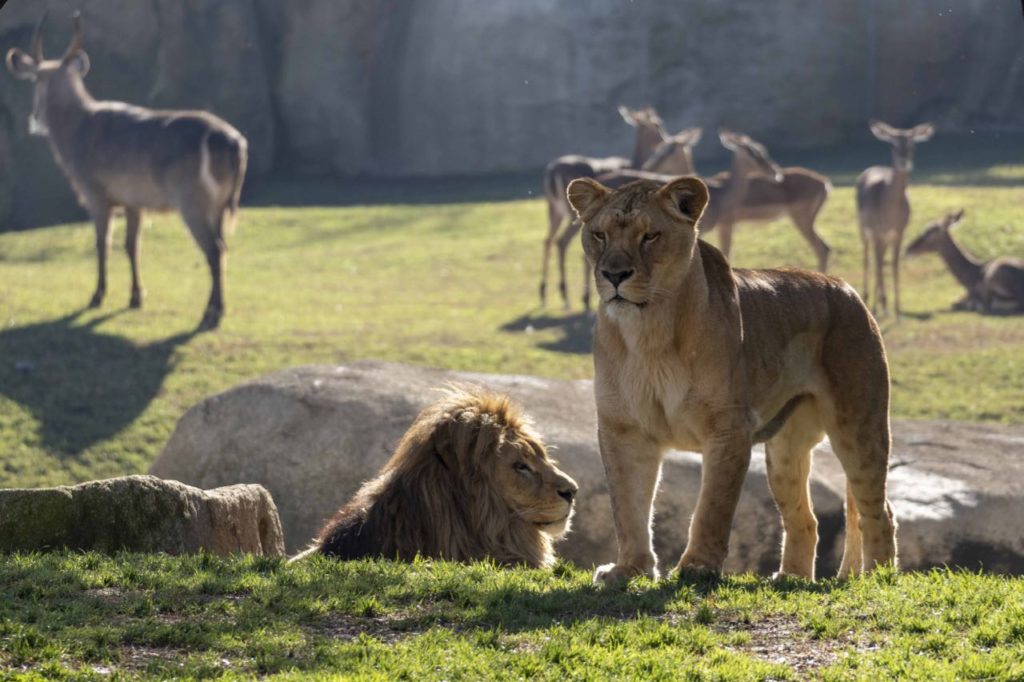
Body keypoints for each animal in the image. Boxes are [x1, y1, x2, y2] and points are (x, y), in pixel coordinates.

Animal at [6, 11, 247, 327]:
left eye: (36, 79)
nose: (34, 119)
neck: (79, 125)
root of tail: (233, 141)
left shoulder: (97, 196)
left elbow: (102, 244)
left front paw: (96, 297)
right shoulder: (134, 202)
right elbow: (132, 246)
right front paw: (135, 298)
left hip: (193, 203)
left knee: (215, 250)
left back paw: (213, 313)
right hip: (217, 207)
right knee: (222, 248)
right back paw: (213, 308)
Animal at [569, 173, 897, 581]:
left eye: (650, 236)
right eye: (599, 235)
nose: (614, 275)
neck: (648, 331)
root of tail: (847, 289)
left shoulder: (728, 427)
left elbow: (712, 507)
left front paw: (697, 566)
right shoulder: (623, 429)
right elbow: (628, 507)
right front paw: (629, 569)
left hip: (859, 428)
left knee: (877, 511)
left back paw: (878, 576)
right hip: (784, 450)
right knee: (806, 520)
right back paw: (790, 579)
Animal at [856, 118, 937, 315]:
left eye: (913, 144)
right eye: (892, 144)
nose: (903, 162)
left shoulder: (900, 230)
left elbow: (894, 264)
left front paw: (897, 310)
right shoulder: (876, 230)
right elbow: (878, 263)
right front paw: (883, 306)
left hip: (884, 236)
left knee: (880, 258)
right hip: (863, 228)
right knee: (868, 257)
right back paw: (869, 299)